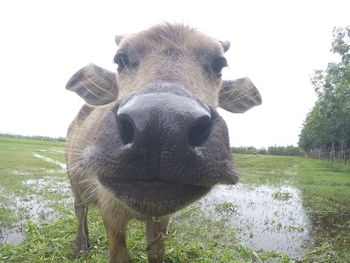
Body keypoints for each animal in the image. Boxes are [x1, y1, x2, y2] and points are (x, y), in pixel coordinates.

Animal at [65, 23, 262, 262]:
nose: (161, 125)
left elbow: (157, 252)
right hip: (74, 180)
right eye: (120, 59)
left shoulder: (162, 219)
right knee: (80, 210)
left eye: (219, 64)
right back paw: (80, 247)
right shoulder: (111, 212)